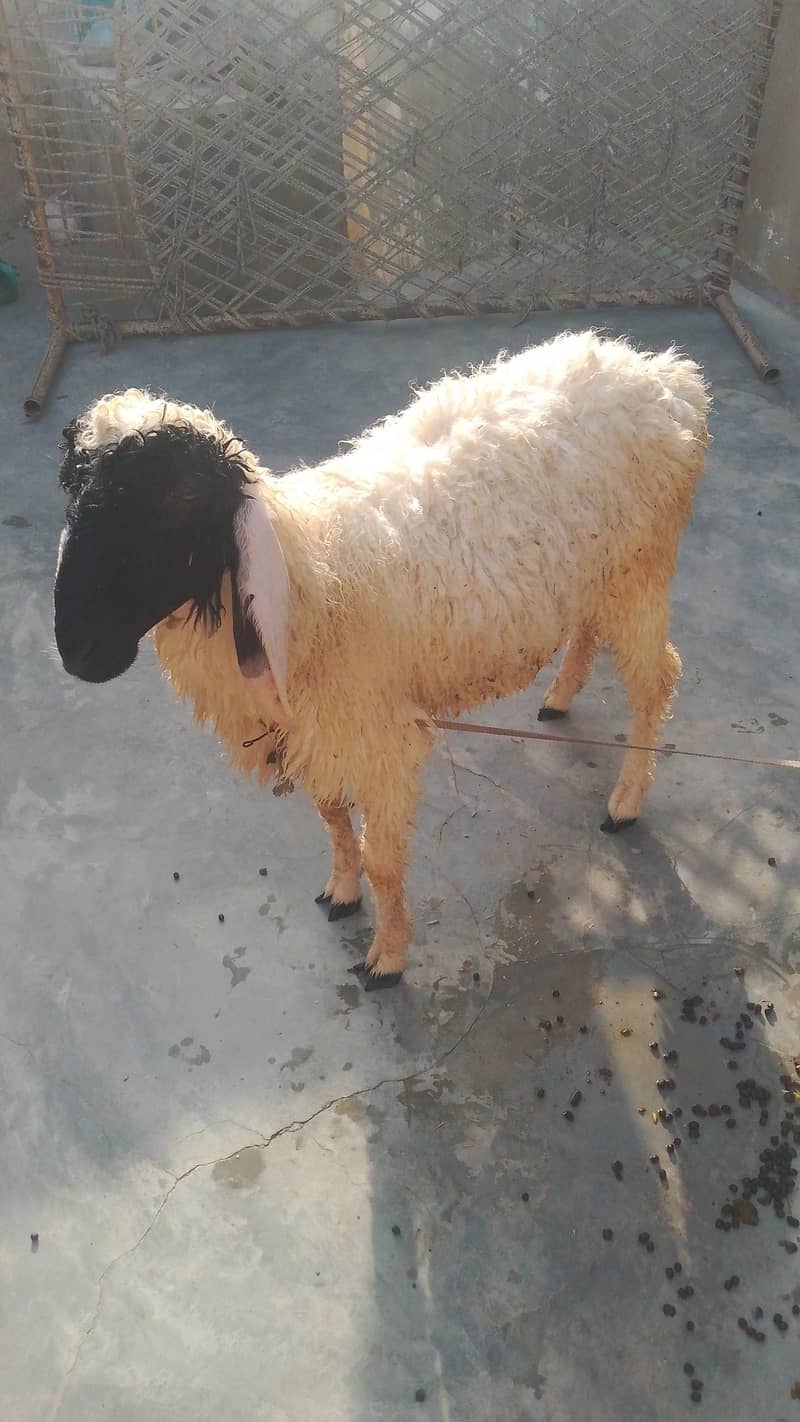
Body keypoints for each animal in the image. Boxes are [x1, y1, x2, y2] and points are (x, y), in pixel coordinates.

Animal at [53, 330, 710, 989]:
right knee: (588, 631)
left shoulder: (381, 739)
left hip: (639, 572)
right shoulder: (316, 731)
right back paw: (559, 696)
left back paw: (625, 802)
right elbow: (332, 818)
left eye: (180, 501)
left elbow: (383, 861)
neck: (307, 583)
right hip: (597, 576)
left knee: (656, 681)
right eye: (74, 495)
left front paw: (388, 957)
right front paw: (341, 892)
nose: (77, 652)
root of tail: (666, 376)